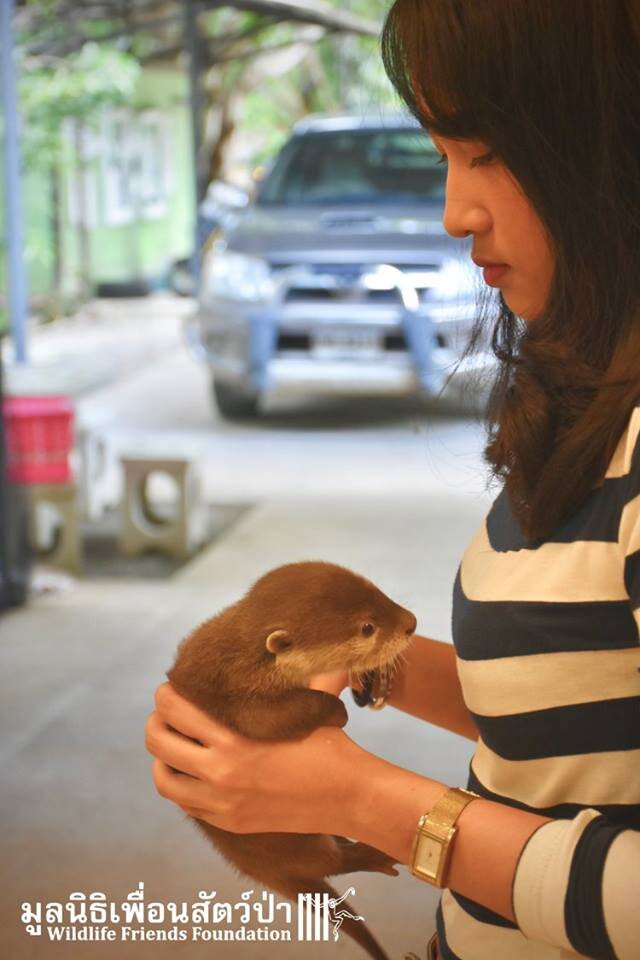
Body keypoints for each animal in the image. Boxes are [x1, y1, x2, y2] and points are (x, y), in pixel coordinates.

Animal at [167, 561, 418, 960]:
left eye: (377, 592)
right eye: (367, 627)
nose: (411, 622)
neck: (246, 657)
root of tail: (256, 869)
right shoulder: (238, 697)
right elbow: (272, 719)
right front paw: (337, 710)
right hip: (289, 841)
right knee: (330, 864)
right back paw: (369, 854)